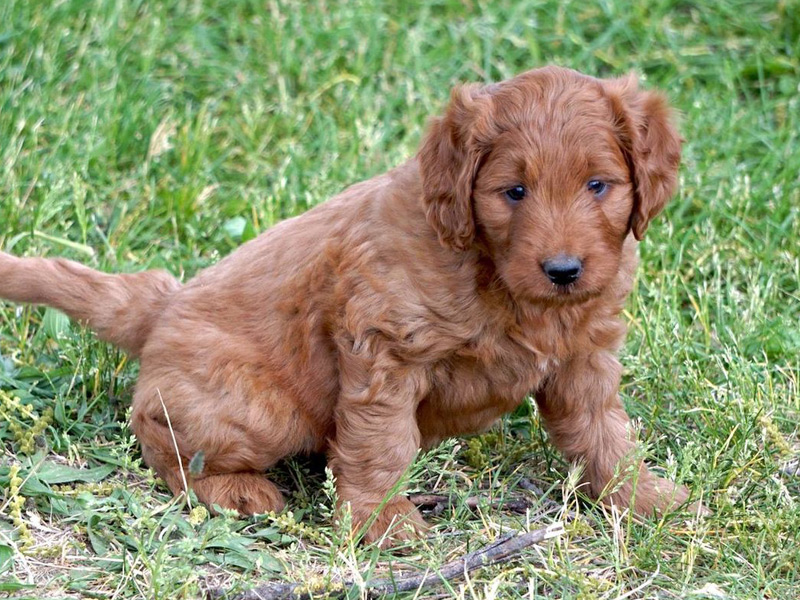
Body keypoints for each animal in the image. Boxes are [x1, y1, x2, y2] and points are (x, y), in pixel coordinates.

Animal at [0, 68, 688, 548]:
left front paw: (643, 496)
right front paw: (383, 525)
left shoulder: (584, 355)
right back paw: (235, 491)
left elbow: (602, 431)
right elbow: (380, 443)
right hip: (264, 411)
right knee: (158, 435)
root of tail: (164, 302)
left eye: (597, 185)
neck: (492, 273)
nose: (564, 271)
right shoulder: (383, 348)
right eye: (513, 191)